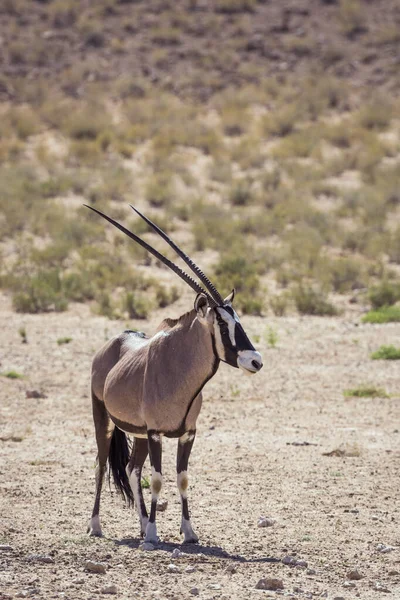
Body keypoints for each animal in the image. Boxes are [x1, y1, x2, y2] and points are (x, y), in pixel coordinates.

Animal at [86, 205, 264, 544]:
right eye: (223, 327)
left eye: (239, 322)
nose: (255, 361)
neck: (179, 370)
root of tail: (114, 341)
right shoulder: (157, 432)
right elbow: (157, 479)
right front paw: (154, 535)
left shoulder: (187, 433)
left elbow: (182, 478)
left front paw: (188, 532)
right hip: (103, 418)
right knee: (102, 464)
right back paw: (96, 526)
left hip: (139, 433)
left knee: (131, 468)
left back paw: (142, 524)